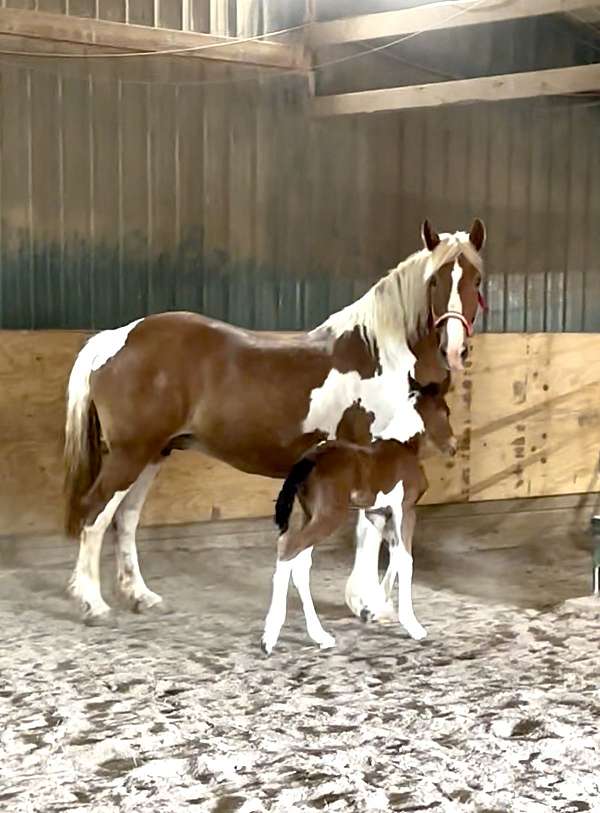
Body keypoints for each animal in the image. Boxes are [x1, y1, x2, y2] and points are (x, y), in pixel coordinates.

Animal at [63, 218, 484, 624]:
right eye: (435, 280)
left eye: (477, 279)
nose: (454, 348)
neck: (380, 356)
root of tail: (116, 338)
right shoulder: (372, 459)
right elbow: (370, 531)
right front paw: (369, 605)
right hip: (130, 454)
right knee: (96, 513)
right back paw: (93, 604)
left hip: (153, 452)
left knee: (126, 518)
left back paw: (141, 596)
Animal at [261, 381, 455, 654]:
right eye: (446, 412)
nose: (453, 445)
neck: (403, 444)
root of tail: (309, 459)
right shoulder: (405, 509)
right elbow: (405, 559)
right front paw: (413, 626)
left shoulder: (378, 513)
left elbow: (393, 553)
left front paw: (372, 609)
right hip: (328, 517)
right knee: (288, 549)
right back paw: (270, 637)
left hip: (308, 514)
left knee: (299, 564)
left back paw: (320, 636)